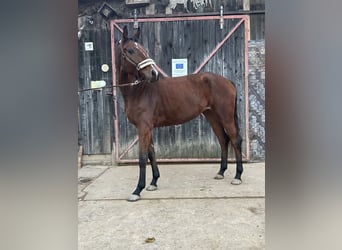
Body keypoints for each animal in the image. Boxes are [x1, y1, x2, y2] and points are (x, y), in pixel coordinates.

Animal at [117, 25, 243, 201]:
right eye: (130, 50)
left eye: (143, 50)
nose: (154, 74)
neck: (138, 91)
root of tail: (227, 81)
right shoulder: (147, 128)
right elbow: (151, 154)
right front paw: (153, 182)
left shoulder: (144, 128)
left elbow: (142, 158)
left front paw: (137, 190)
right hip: (212, 116)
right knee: (223, 140)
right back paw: (221, 172)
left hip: (226, 116)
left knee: (235, 140)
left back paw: (238, 176)